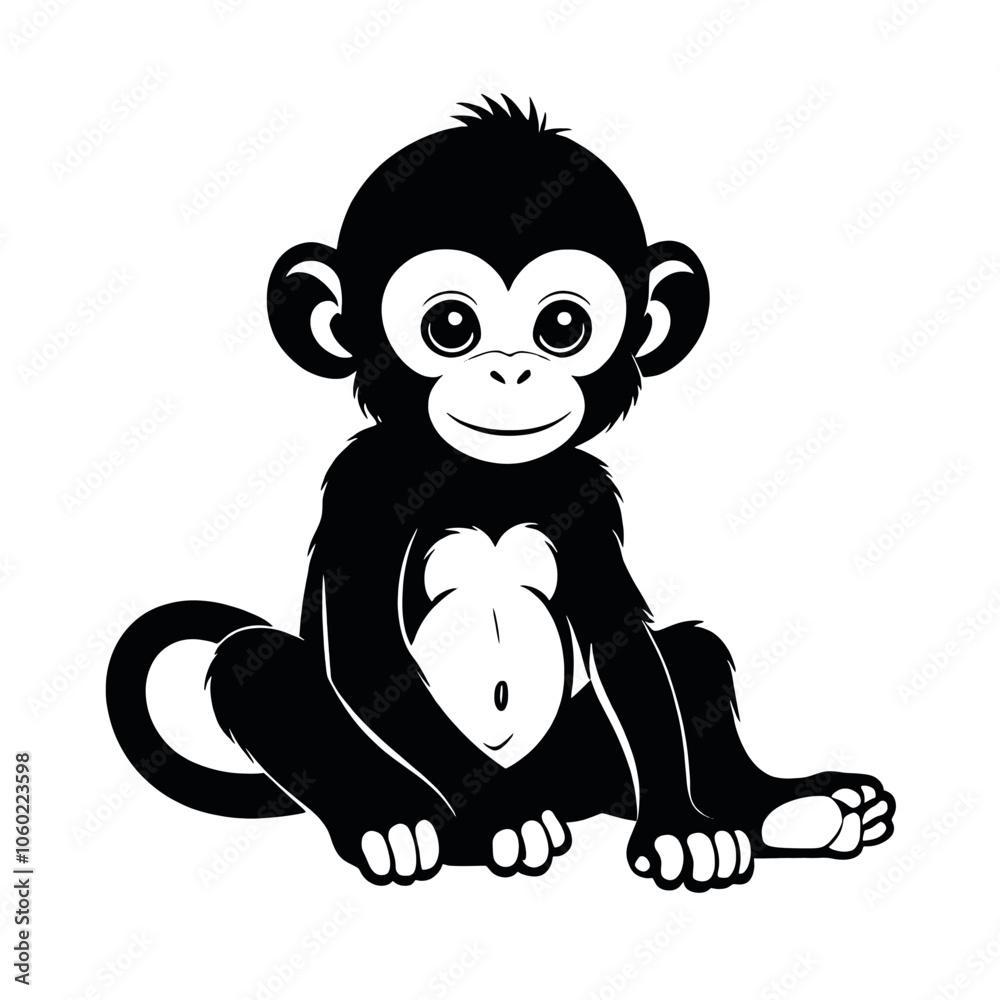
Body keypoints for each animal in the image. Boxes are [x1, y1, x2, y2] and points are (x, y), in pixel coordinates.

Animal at [106, 96, 894, 891]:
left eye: (563, 325)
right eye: (451, 325)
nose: (511, 372)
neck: (486, 476)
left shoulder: (585, 494)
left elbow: (627, 647)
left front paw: (679, 826)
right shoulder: (367, 484)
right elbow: (368, 655)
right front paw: (502, 820)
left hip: (577, 763)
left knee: (690, 652)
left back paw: (786, 810)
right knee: (255, 662)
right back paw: (395, 824)